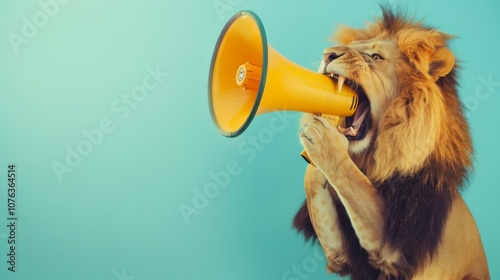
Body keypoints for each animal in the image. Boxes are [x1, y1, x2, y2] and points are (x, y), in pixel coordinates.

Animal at [294, 7, 490, 280]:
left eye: (376, 56)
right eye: (351, 47)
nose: (328, 53)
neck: (374, 161)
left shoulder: (397, 251)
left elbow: (354, 182)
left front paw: (326, 143)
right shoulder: (342, 258)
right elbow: (317, 190)